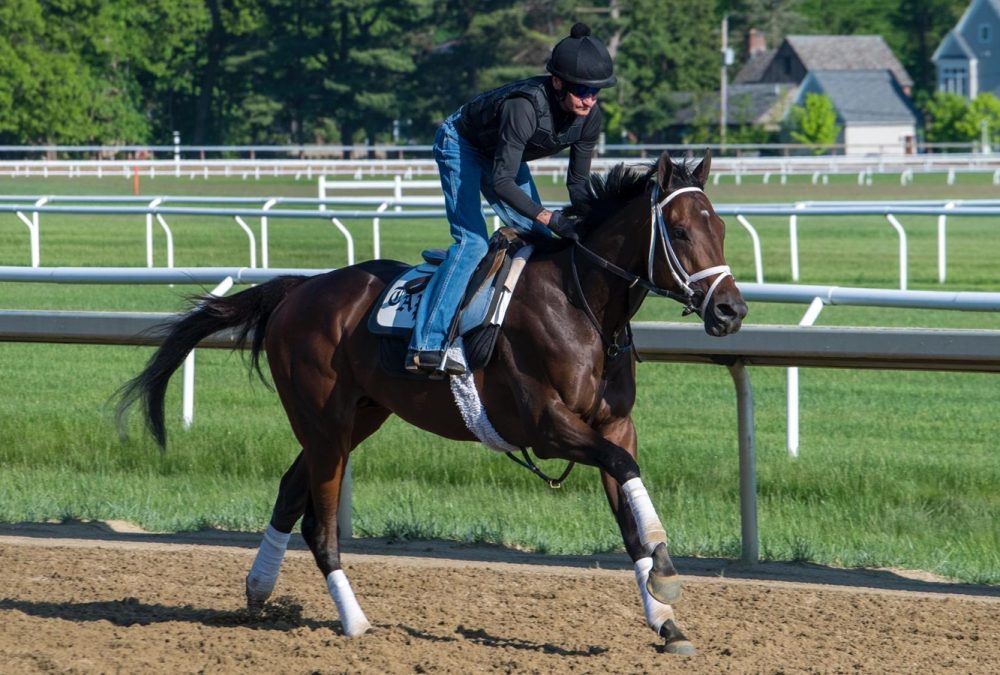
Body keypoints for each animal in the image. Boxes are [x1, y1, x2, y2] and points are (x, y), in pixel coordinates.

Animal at [115, 151, 744, 656]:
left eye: (721, 229)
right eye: (680, 232)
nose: (731, 311)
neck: (581, 305)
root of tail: (298, 288)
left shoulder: (612, 424)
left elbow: (630, 508)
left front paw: (666, 616)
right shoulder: (546, 426)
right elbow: (625, 470)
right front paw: (666, 575)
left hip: (358, 416)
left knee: (291, 489)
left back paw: (259, 588)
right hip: (324, 421)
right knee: (320, 525)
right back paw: (355, 622)